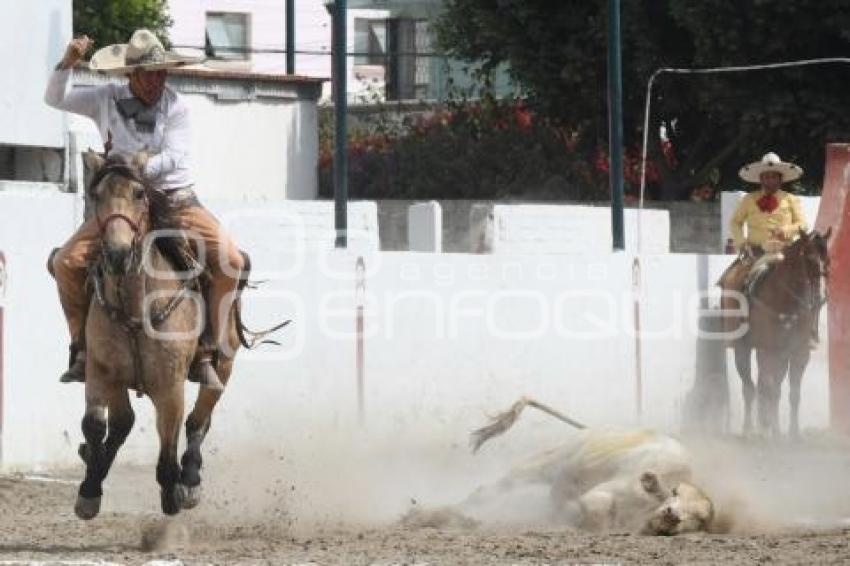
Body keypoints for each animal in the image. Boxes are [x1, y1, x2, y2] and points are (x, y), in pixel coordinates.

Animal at [61, 151, 284, 520]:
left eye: (139, 193)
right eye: (96, 194)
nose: (118, 253)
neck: (136, 306)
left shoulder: (170, 386)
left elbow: (169, 445)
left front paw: (172, 492)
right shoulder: (103, 371)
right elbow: (94, 425)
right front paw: (88, 491)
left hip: (224, 365)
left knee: (198, 420)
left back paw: (190, 480)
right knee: (123, 423)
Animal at [400, 400, 712, 536]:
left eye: (699, 516)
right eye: (675, 493)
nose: (672, 514)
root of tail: (591, 430)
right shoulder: (603, 494)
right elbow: (591, 512)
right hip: (542, 463)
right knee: (487, 490)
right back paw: (434, 515)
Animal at [728, 231, 828, 440]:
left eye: (829, 260)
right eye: (809, 258)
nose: (821, 297)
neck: (786, 303)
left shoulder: (800, 353)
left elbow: (793, 393)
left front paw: (794, 433)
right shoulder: (767, 350)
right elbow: (770, 389)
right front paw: (774, 432)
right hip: (743, 349)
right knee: (750, 386)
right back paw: (750, 428)